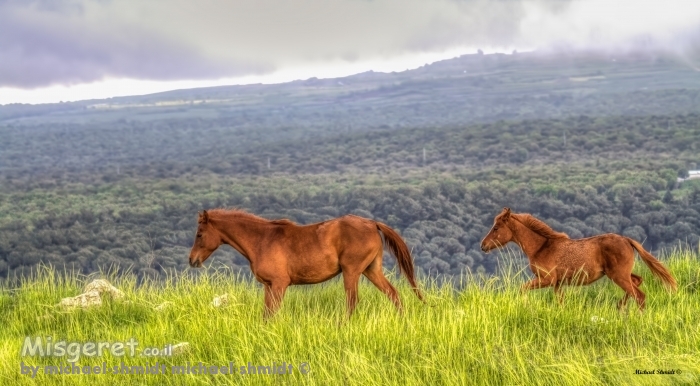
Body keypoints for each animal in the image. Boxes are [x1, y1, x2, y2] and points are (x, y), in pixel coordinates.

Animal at [189, 210, 424, 318]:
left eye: (199, 234)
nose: (192, 260)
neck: (262, 240)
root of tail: (372, 223)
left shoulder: (279, 284)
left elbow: (274, 312)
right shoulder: (268, 286)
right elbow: (266, 313)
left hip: (352, 272)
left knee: (352, 301)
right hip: (371, 270)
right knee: (393, 293)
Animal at [478, 207, 676, 310]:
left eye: (496, 228)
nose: (483, 245)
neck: (541, 247)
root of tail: (627, 240)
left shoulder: (547, 279)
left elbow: (522, 289)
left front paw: (524, 305)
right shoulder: (557, 283)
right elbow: (560, 301)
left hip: (618, 275)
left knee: (640, 295)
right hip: (620, 274)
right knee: (637, 281)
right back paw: (620, 306)